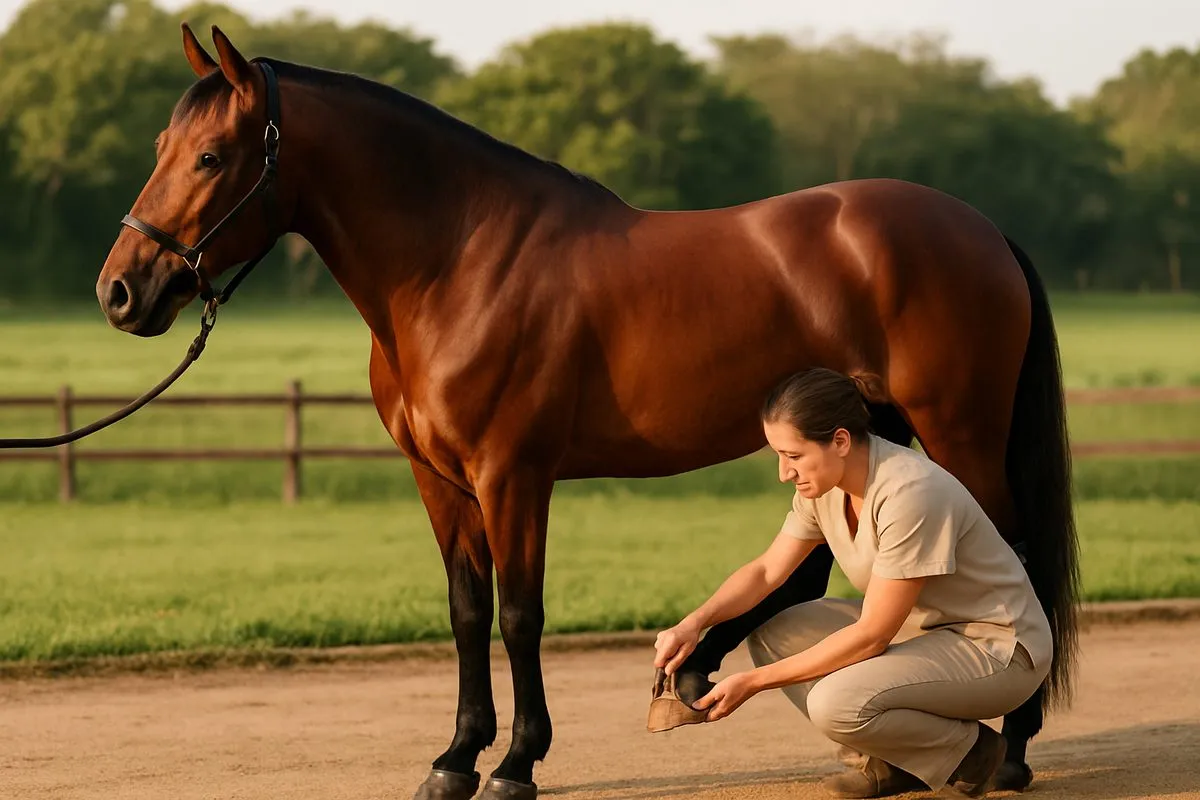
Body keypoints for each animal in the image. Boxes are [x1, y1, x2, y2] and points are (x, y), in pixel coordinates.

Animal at [94, 24, 1079, 800]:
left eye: (211, 157)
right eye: (162, 145)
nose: (120, 291)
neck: (459, 262)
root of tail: (982, 228)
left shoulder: (513, 475)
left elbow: (520, 615)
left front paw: (515, 765)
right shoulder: (440, 481)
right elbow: (466, 611)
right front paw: (455, 758)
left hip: (957, 429)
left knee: (1012, 558)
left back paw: (1010, 751)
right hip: (880, 427)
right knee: (814, 575)